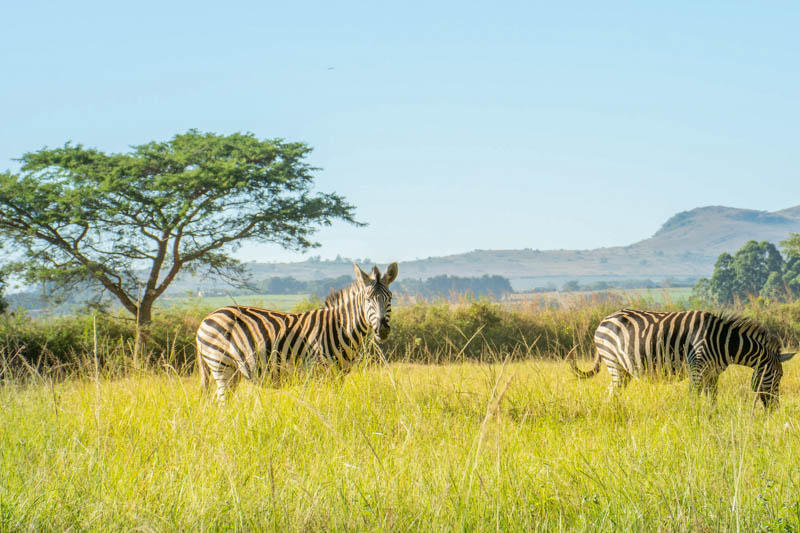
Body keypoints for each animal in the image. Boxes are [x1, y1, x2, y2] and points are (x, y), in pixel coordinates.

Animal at [197, 262, 396, 400]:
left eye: (390, 298)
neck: (340, 328)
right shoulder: (317, 373)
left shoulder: (338, 376)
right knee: (222, 403)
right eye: (367, 300)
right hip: (221, 365)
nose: (382, 330)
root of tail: (206, 318)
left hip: (233, 371)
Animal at [568, 308, 792, 408]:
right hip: (614, 363)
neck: (724, 342)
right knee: (612, 391)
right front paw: (693, 421)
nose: (774, 409)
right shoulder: (698, 367)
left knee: (612, 392)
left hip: (624, 369)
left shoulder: (712, 374)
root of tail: (603, 320)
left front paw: (713, 419)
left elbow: (712, 399)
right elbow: (694, 396)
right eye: (779, 377)